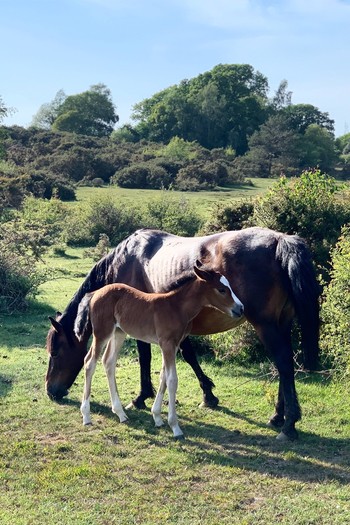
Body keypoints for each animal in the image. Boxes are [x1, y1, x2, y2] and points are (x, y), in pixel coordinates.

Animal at [74, 264, 243, 436]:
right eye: (222, 289)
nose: (240, 308)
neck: (176, 307)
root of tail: (95, 293)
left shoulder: (172, 345)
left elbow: (163, 377)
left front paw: (157, 417)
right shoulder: (167, 344)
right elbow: (172, 380)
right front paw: (175, 427)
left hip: (118, 332)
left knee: (108, 361)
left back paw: (121, 413)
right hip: (102, 332)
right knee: (90, 362)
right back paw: (86, 416)